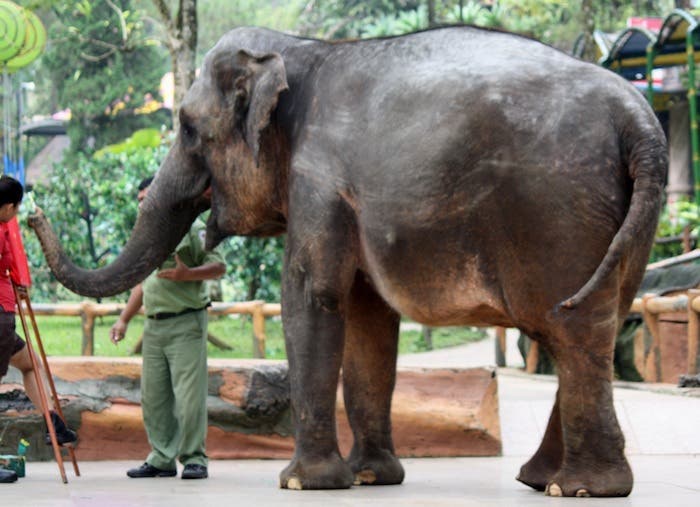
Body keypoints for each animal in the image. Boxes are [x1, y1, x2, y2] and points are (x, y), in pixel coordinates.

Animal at [31, 25, 668, 498]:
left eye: (188, 129)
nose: (32, 212)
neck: (300, 49)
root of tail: (639, 120)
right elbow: (367, 319)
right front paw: (369, 478)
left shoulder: (319, 180)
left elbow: (311, 298)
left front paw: (301, 483)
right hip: (625, 218)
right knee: (597, 323)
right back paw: (541, 480)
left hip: (557, 208)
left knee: (572, 329)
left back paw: (580, 488)